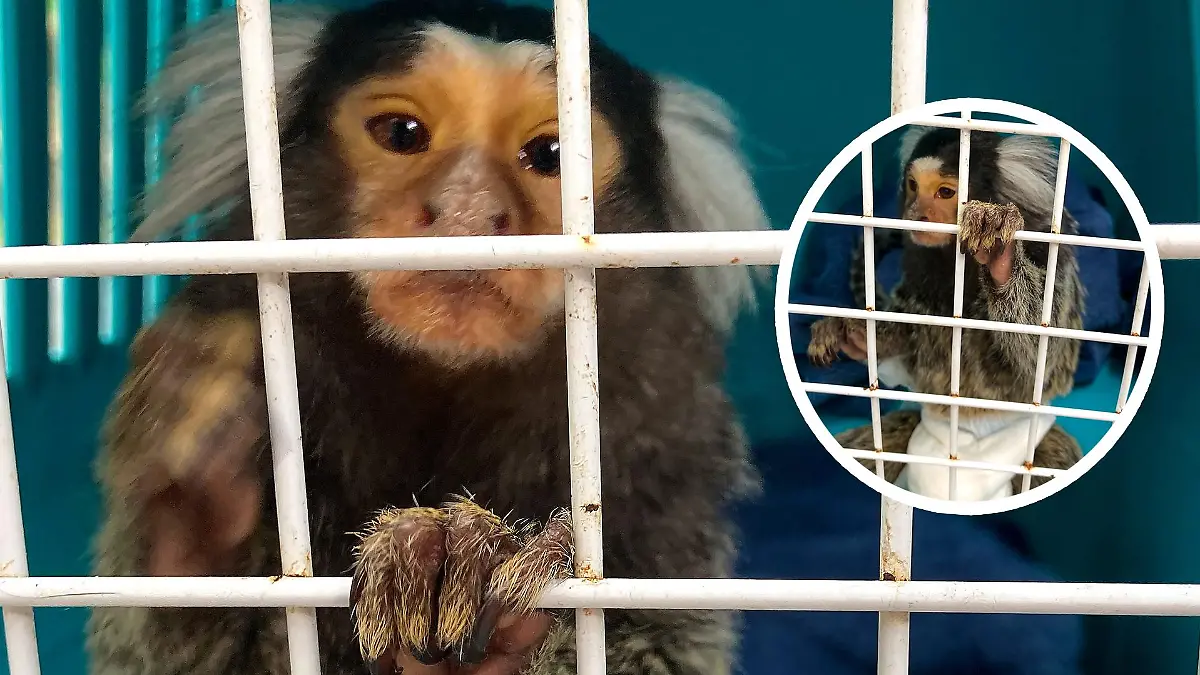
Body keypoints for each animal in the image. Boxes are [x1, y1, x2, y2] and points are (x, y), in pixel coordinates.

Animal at [85, 2, 772, 675]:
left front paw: (479, 614)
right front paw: (192, 508)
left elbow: (663, 638)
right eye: (402, 134)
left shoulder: (662, 449)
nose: (466, 209)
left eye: (549, 153)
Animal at [805, 126, 1085, 501]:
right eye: (913, 186)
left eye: (945, 192)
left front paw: (1001, 256)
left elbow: (1043, 353)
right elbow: (910, 333)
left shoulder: (1053, 260)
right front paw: (851, 334)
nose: (916, 212)